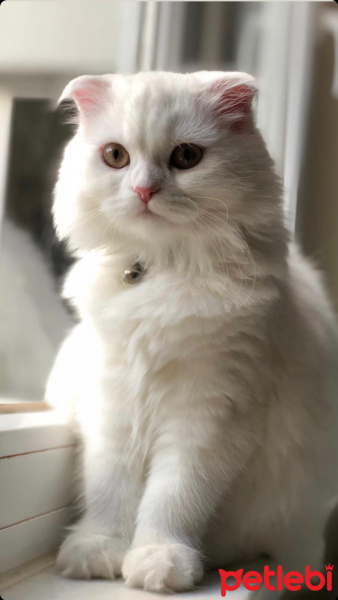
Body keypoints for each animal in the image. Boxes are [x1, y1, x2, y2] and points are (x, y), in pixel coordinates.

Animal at [46, 72, 338, 592]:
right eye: (115, 156)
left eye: (186, 157)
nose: (145, 190)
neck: (163, 269)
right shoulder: (112, 402)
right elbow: (110, 488)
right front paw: (100, 549)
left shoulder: (209, 413)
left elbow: (173, 498)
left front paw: (159, 561)